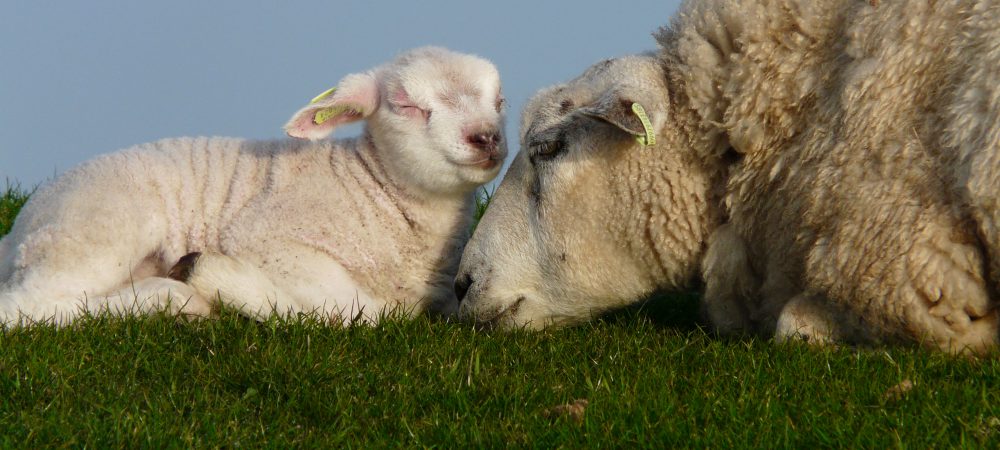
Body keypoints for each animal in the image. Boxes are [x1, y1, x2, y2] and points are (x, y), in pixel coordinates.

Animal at [0, 45, 508, 326]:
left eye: (500, 101)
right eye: (405, 105)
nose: (486, 137)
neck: (371, 185)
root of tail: (19, 230)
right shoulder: (267, 240)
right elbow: (358, 311)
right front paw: (227, 281)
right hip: (98, 231)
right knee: (26, 305)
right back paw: (176, 295)